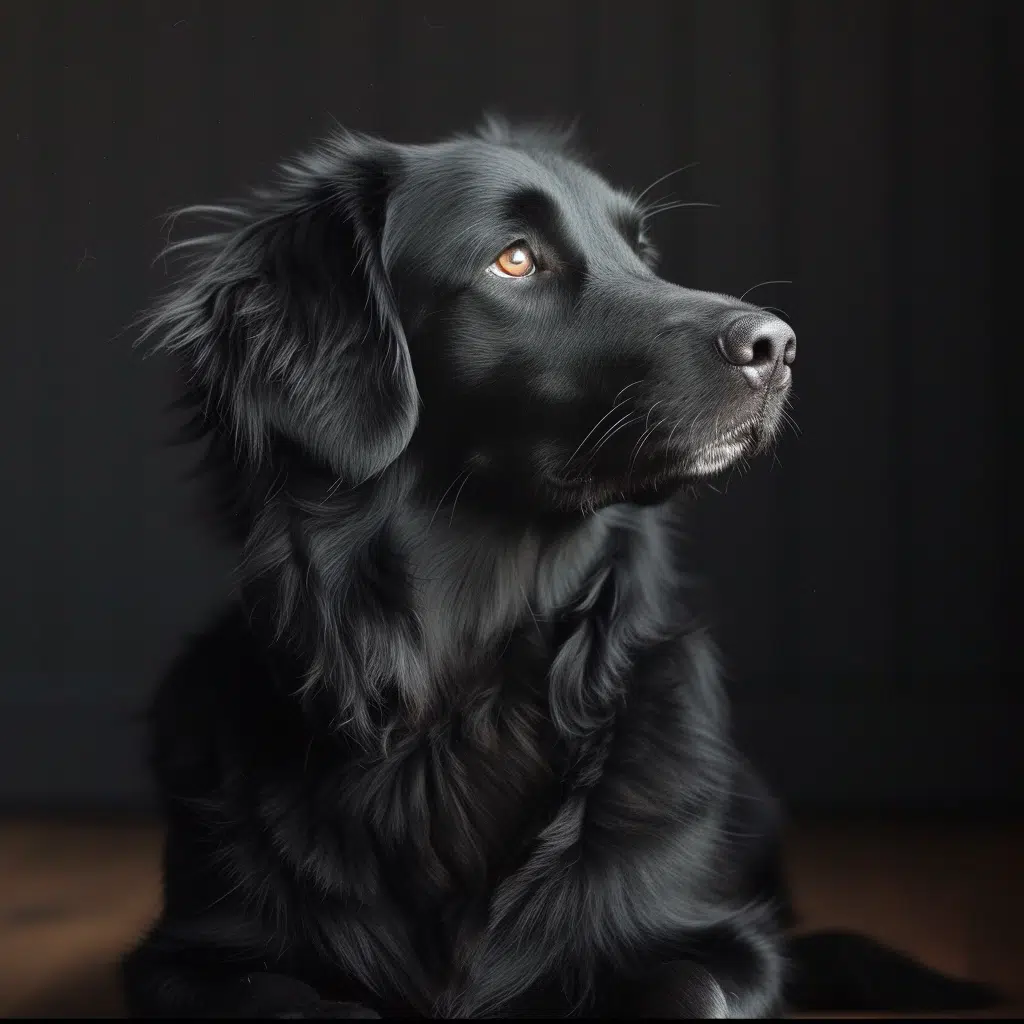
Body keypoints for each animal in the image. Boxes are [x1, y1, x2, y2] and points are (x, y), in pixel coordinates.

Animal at [121, 117, 999, 1015]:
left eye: (642, 251)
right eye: (514, 259)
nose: (777, 346)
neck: (463, 697)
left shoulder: (726, 943)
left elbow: (682, 986)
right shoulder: (187, 957)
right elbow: (293, 999)